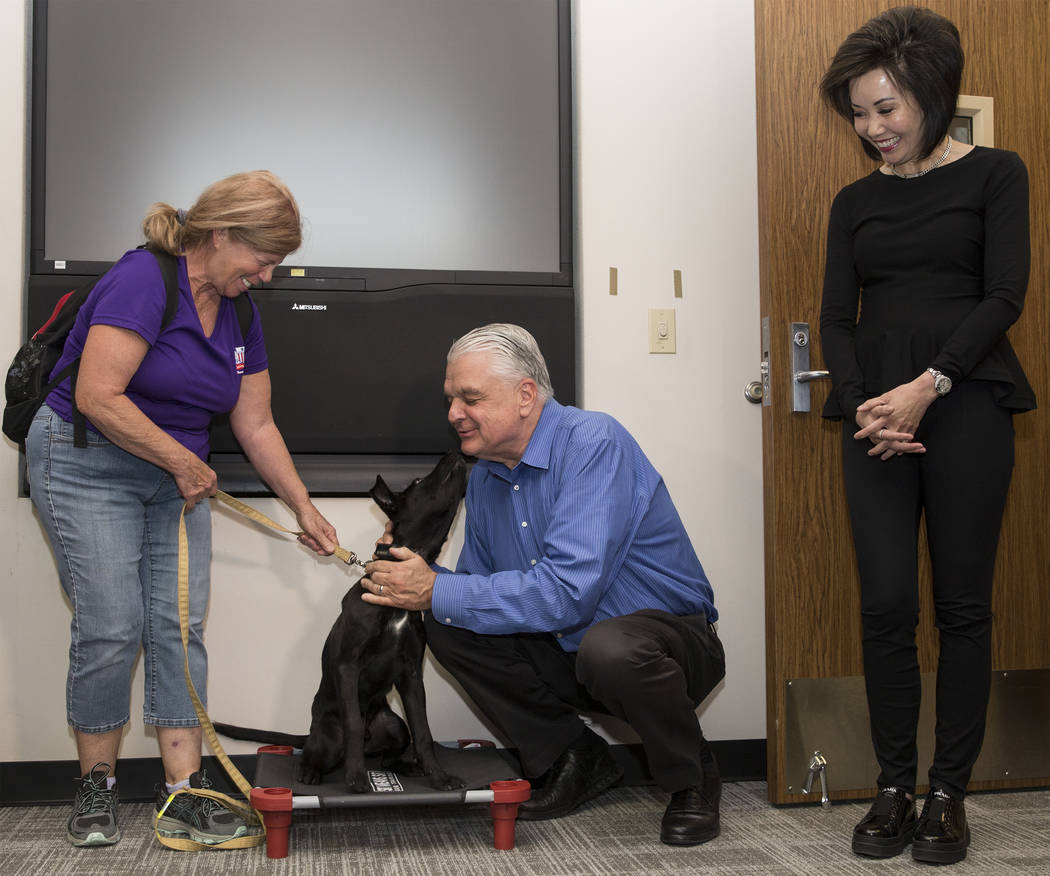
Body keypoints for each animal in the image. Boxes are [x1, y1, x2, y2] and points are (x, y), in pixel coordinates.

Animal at [213, 449, 468, 789]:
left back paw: (406, 765)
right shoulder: (348, 665)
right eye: (416, 481)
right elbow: (353, 725)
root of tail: (309, 733)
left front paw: (438, 777)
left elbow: (423, 732)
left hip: (394, 726)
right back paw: (310, 772)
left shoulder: (412, 675)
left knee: (389, 754)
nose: (454, 452)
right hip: (327, 737)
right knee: (317, 752)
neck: (393, 599)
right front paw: (357, 777)